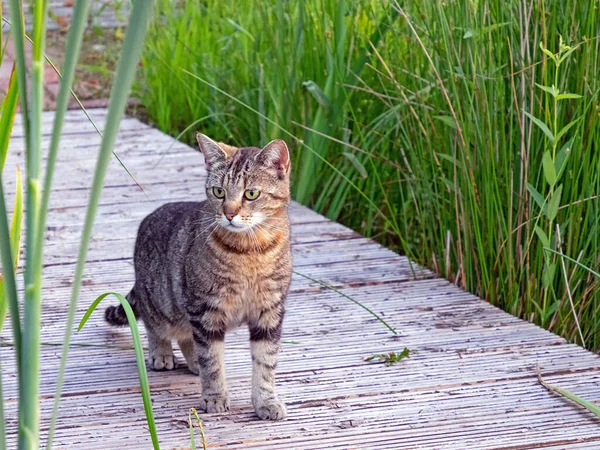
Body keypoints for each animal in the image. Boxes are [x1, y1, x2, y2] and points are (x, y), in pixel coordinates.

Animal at [105, 134, 292, 422]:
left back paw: (192, 363)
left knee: (186, 336)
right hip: (164, 301)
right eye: (218, 192)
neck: (250, 251)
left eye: (251, 194)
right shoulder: (205, 309)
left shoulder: (270, 312)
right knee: (156, 326)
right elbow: (212, 360)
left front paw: (266, 401)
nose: (229, 213)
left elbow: (265, 363)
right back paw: (162, 353)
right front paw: (215, 397)